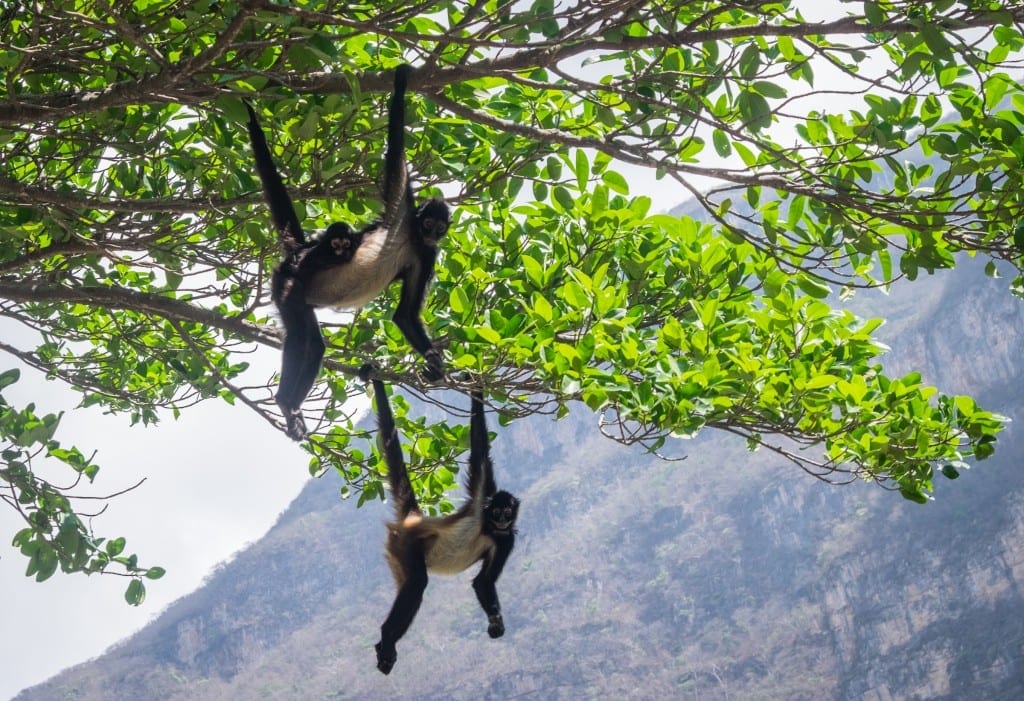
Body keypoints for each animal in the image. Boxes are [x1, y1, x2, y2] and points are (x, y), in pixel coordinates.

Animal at [245, 65, 450, 437]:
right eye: (428, 223)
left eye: (441, 229)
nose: (433, 234)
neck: (412, 238)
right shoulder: (402, 211)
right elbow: (396, 151)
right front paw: (401, 84)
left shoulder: (428, 255)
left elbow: (404, 316)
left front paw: (435, 363)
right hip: (287, 284)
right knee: (301, 338)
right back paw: (284, 402)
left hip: (301, 297)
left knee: (312, 344)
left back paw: (290, 404)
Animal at [360, 364, 520, 675]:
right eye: (496, 512)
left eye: (508, 513)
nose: (503, 521)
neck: (487, 527)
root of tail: (414, 519)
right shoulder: (483, 495)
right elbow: (480, 449)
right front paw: (476, 385)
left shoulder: (506, 539)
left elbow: (482, 582)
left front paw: (496, 623)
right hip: (406, 544)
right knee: (417, 583)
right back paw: (387, 638)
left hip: (396, 556)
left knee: (409, 584)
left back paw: (384, 646)